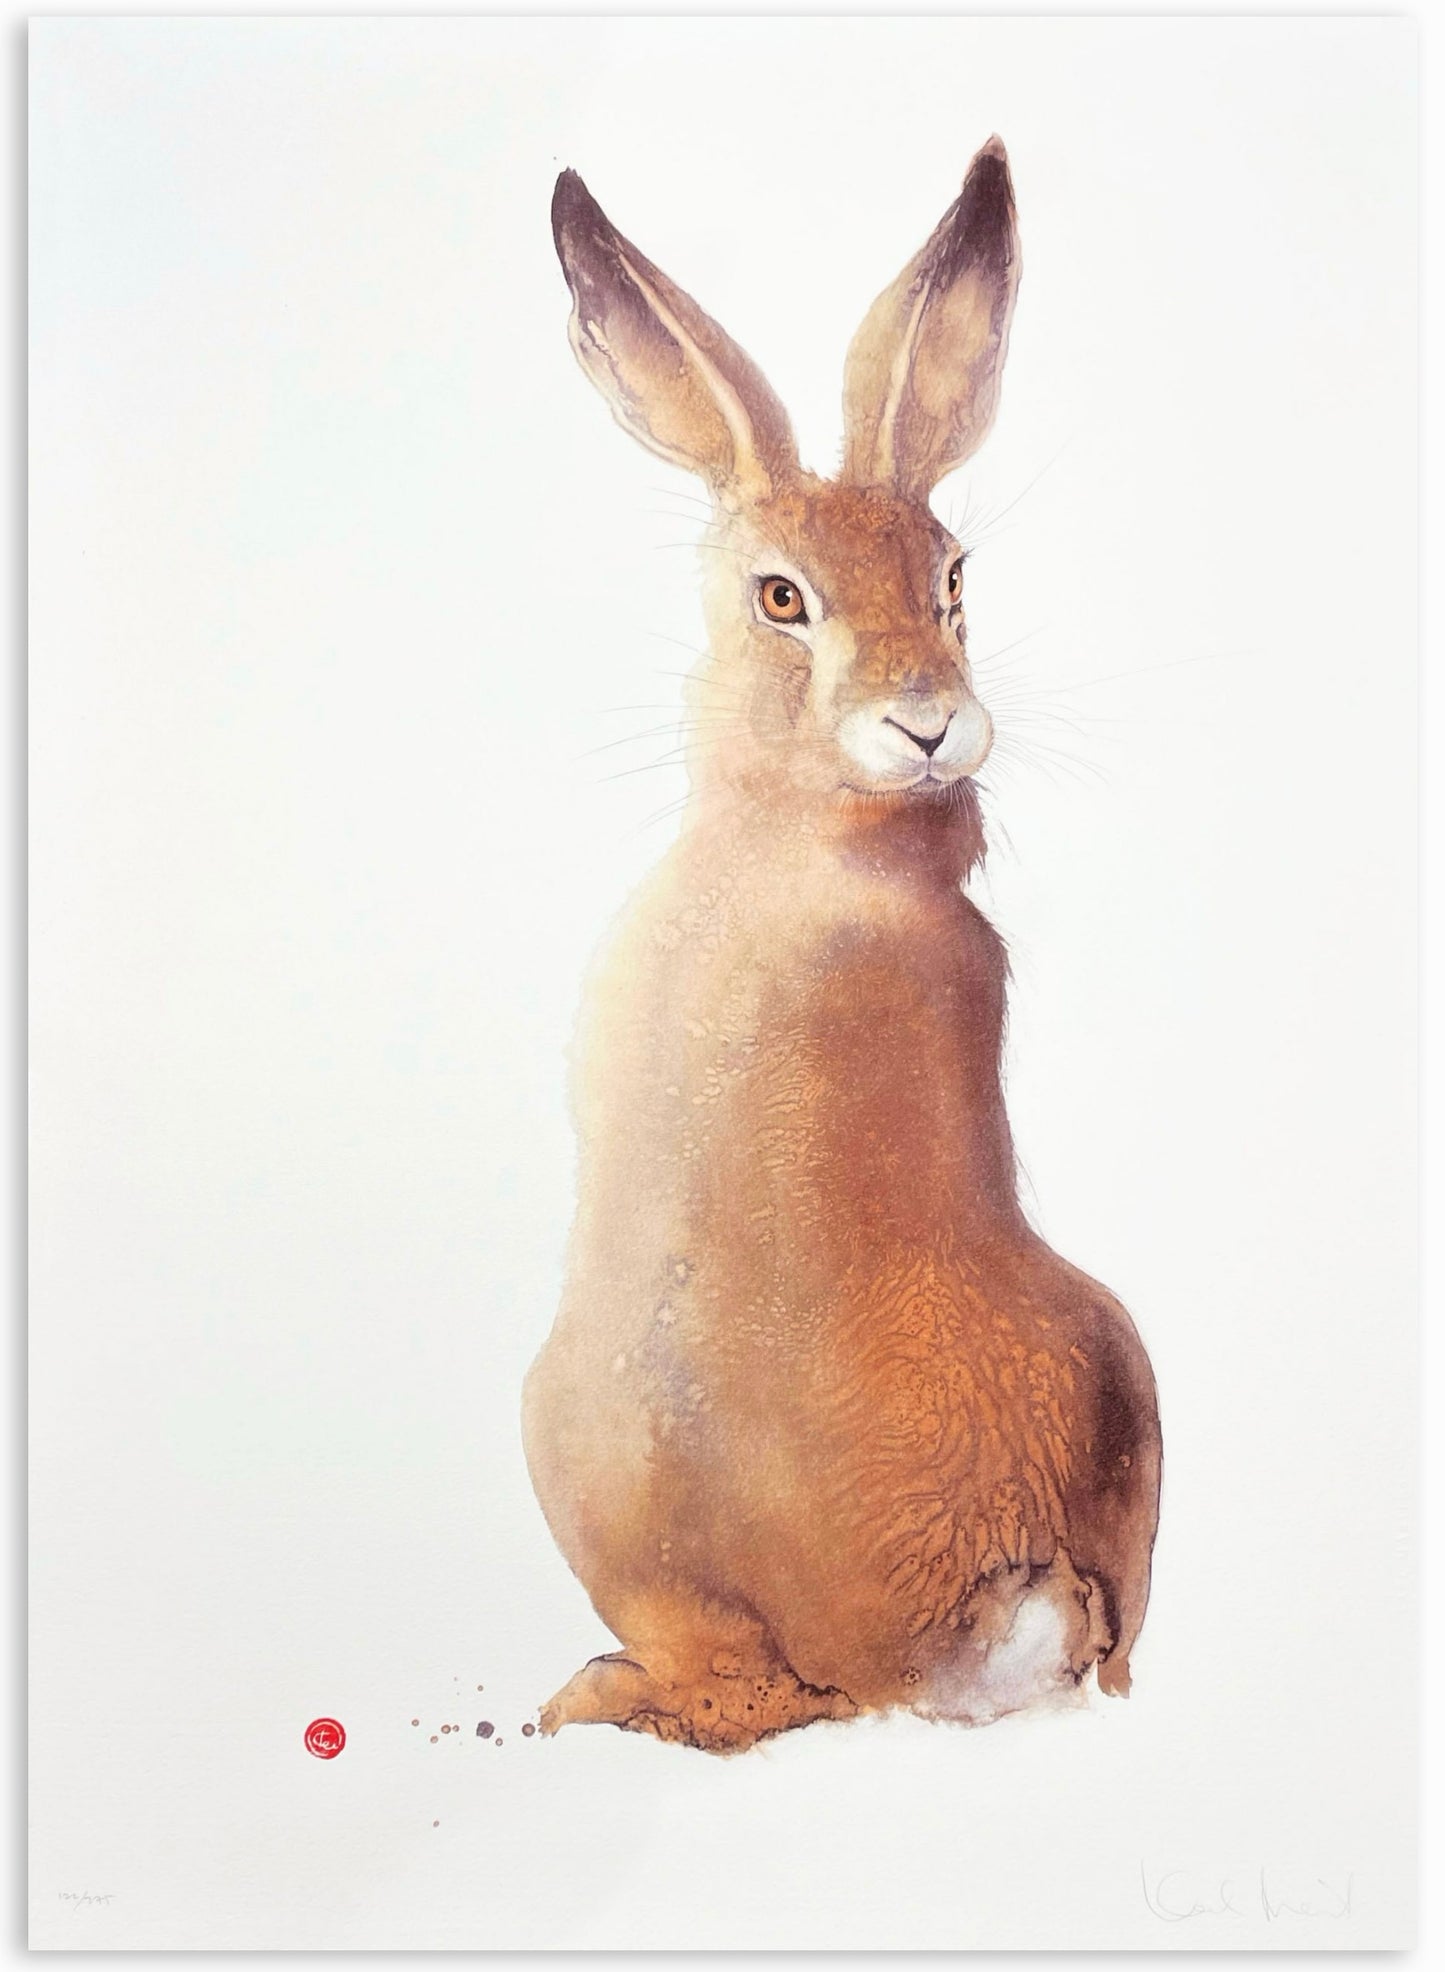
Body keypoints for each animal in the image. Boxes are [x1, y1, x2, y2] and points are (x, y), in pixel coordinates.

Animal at [523, 139, 1161, 1753]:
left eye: (951, 578)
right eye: (780, 599)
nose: (928, 721)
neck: (829, 845)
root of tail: (998, 1601)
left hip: (581, 1443)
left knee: (751, 1694)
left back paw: (592, 1698)